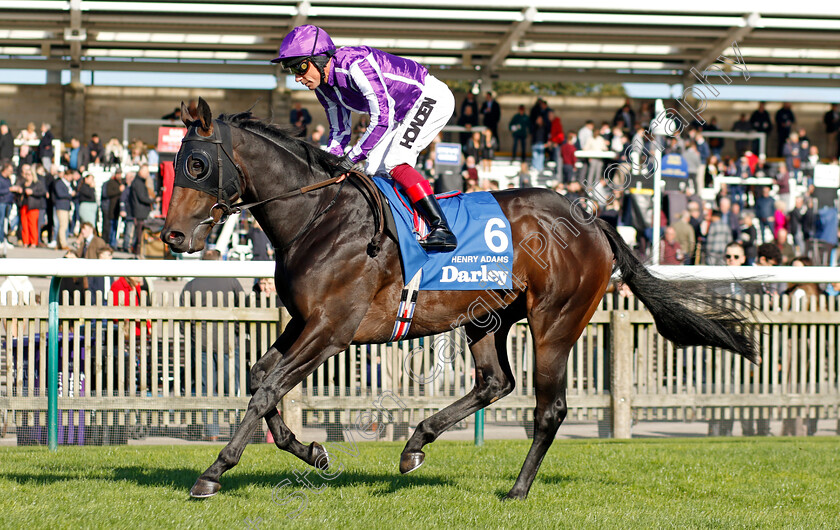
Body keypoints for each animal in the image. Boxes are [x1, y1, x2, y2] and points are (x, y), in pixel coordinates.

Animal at [161, 98, 756, 500]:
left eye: (196, 165)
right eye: (171, 165)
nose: (171, 236)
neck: (319, 216)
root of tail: (590, 218)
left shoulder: (332, 328)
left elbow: (269, 388)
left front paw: (213, 473)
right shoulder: (306, 320)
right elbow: (260, 377)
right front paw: (312, 450)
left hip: (556, 320)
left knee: (548, 408)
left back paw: (517, 489)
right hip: (486, 319)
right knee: (495, 382)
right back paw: (415, 445)